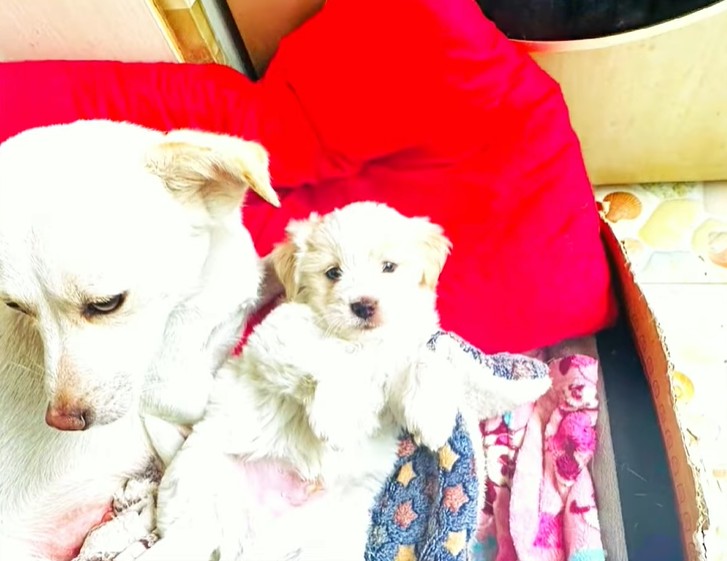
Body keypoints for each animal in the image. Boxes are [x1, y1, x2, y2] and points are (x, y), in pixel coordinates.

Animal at [138, 202, 550, 561]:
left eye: (389, 267)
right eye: (332, 273)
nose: (364, 305)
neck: (363, 343)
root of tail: (256, 540)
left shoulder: (400, 365)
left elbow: (423, 362)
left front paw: (432, 417)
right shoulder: (275, 341)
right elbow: (326, 365)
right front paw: (338, 418)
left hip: (333, 533)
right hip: (199, 488)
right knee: (189, 539)